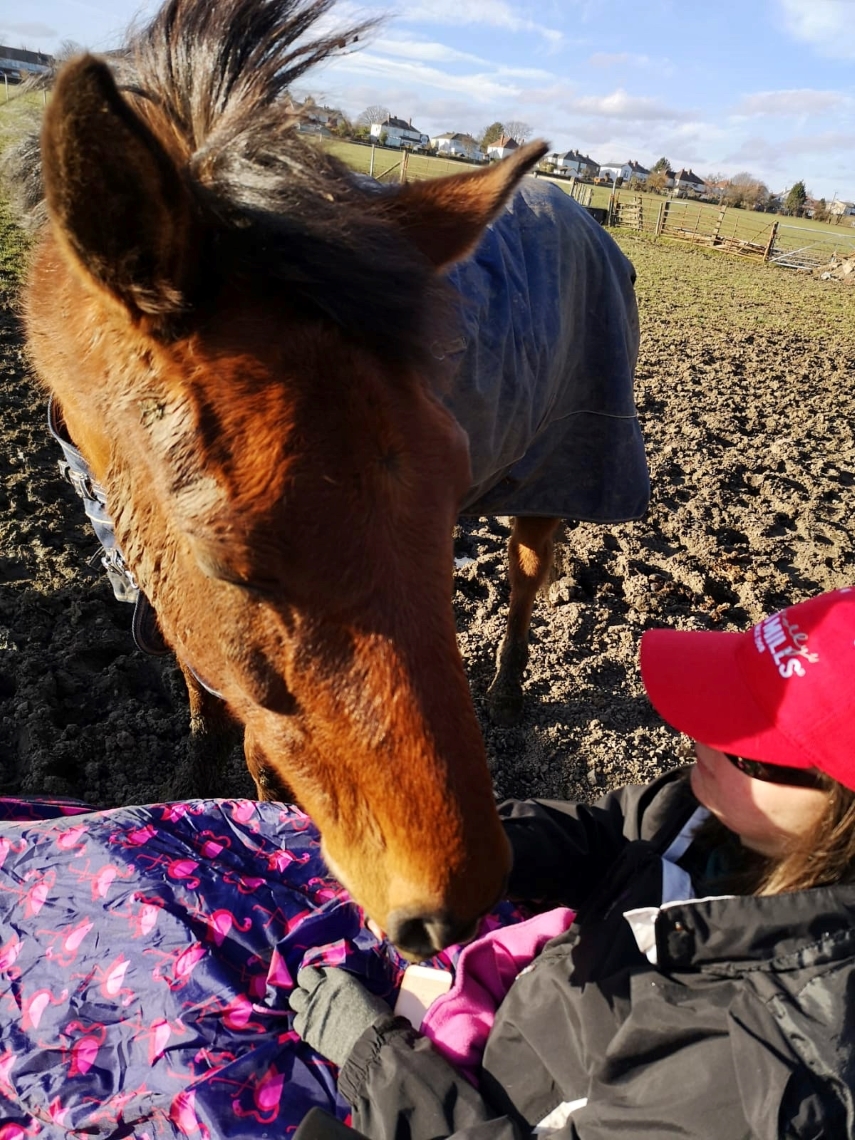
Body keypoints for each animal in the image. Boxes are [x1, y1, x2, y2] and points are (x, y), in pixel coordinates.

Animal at [15, 0, 647, 959]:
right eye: (229, 562)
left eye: (450, 471)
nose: (456, 905)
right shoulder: (152, 568)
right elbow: (204, 688)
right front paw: (197, 763)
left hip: (552, 479)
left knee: (526, 582)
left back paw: (507, 689)